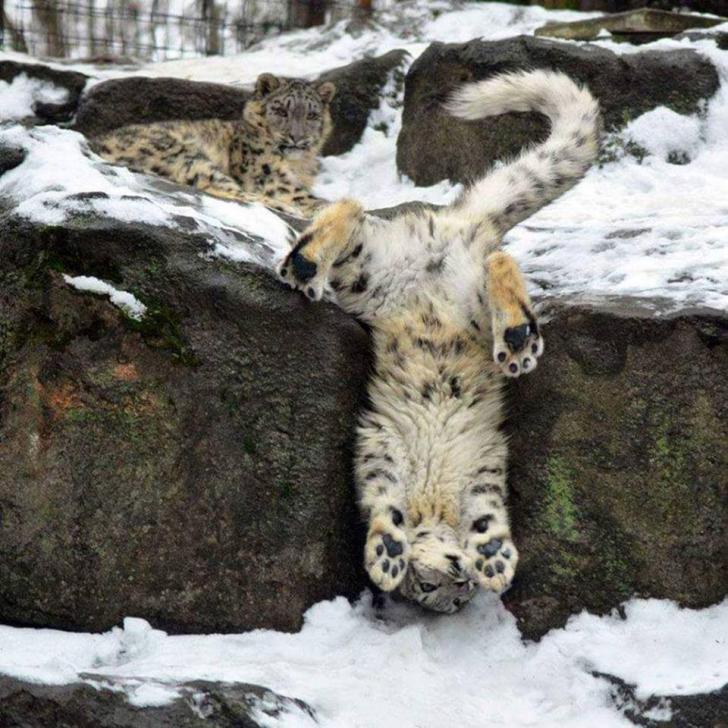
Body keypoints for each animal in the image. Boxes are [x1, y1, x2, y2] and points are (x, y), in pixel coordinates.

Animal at [89, 75, 336, 220]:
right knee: (224, 188)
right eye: (282, 111)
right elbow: (306, 197)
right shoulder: (272, 178)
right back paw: (290, 210)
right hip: (183, 153)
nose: (297, 137)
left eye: (312, 115)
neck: (299, 165)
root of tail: (95, 142)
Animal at [278, 69, 596, 616]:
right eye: (429, 593)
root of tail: (451, 225)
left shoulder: (483, 467)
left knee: (490, 260)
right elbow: (383, 499)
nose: (459, 583)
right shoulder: (380, 449)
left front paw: (493, 555)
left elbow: (487, 508)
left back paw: (517, 338)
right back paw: (306, 260)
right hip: (374, 272)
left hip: (440, 294)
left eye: (452, 595)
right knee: (359, 214)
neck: (436, 499)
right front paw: (387, 552)